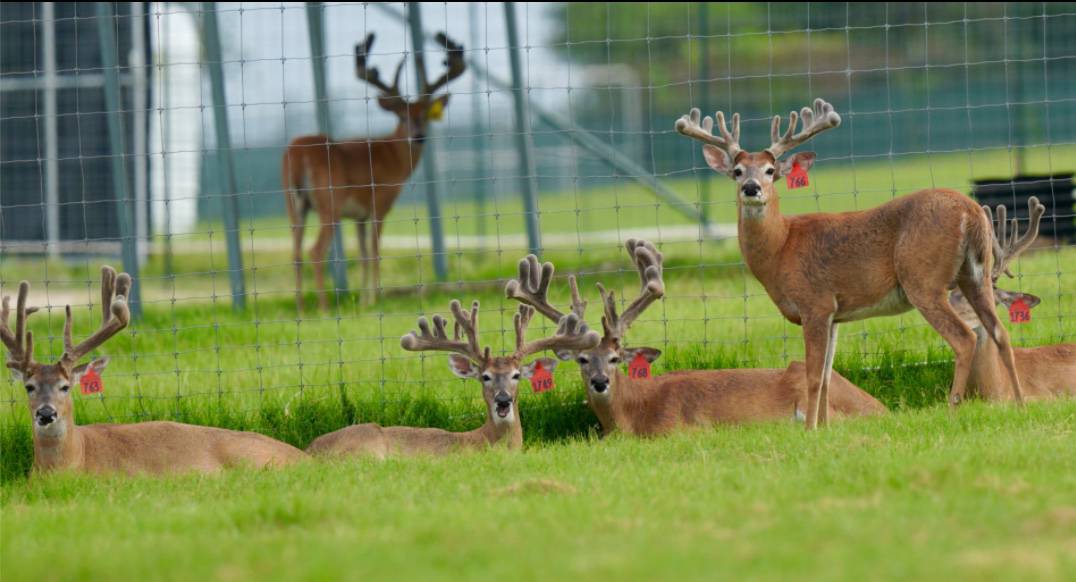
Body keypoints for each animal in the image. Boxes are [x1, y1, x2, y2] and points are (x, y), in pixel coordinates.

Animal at [282, 32, 466, 310]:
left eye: (425, 115)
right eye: (402, 117)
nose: (418, 136)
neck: (391, 156)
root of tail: (297, 153)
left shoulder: (359, 215)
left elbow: (362, 252)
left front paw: (363, 301)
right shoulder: (380, 202)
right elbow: (374, 250)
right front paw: (374, 299)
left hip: (295, 204)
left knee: (295, 252)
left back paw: (301, 309)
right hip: (329, 201)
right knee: (316, 250)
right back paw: (324, 309)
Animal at [505, 240, 887, 438]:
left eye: (615, 358)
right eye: (583, 360)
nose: (600, 382)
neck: (632, 416)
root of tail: (880, 407)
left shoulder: (682, 428)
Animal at [675, 98, 1024, 429]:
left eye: (770, 170)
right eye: (737, 171)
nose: (751, 188)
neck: (781, 247)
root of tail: (971, 210)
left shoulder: (815, 303)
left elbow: (813, 375)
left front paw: (810, 430)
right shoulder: (836, 314)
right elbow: (828, 376)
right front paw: (826, 428)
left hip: (923, 279)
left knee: (965, 338)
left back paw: (953, 410)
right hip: (975, 275)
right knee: (1001, 333)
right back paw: (1021, 403)